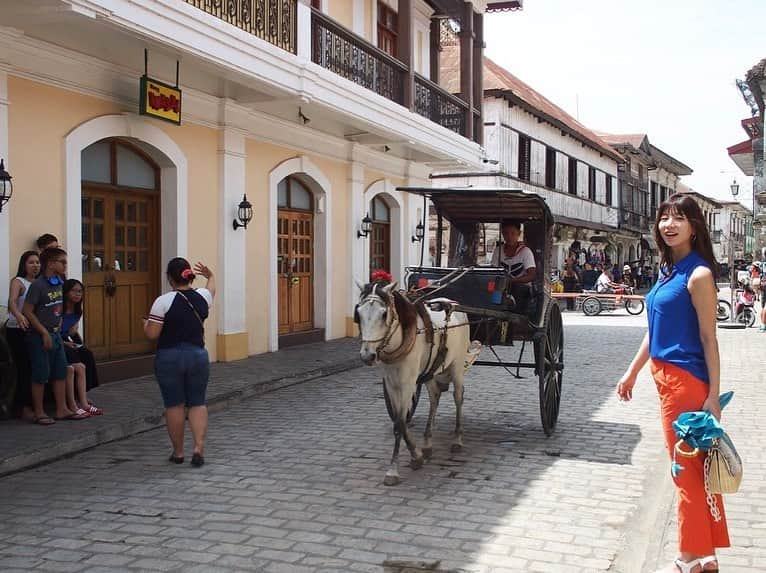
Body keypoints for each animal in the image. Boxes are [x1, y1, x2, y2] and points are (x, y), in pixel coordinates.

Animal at [356, 280, 474, 484]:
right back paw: (427, 443)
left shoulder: (408, 383)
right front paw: (417, 454)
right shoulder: (391, 384)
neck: (399, 339)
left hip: (457, 366)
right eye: (359, 313)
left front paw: (393, 471)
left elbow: (399, 424)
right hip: (430, 370)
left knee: (459, 397)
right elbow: (400, 421)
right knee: (435, 397)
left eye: (384, 314)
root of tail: (452, 303)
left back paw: (457, 440)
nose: (367, 355)